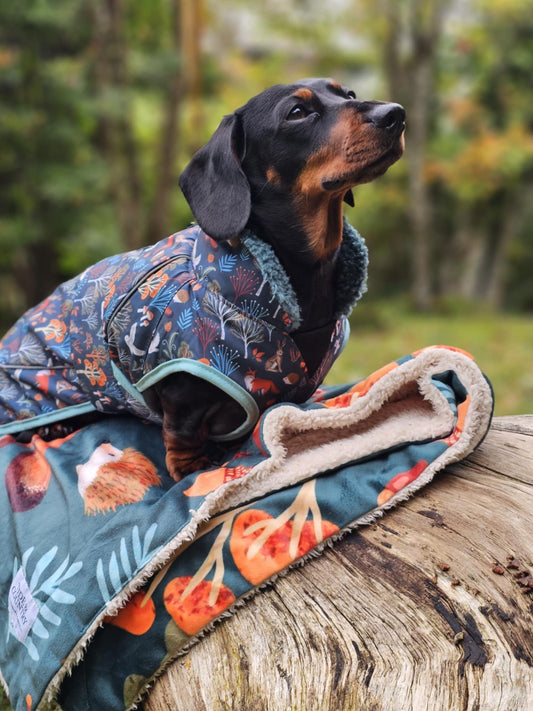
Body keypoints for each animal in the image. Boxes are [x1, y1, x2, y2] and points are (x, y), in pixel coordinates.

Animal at [0, 78, 402, 482]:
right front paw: (196, 469)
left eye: (349, 95)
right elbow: (183, 433)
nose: (396, 114)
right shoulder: (180, 387)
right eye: (297, 112)